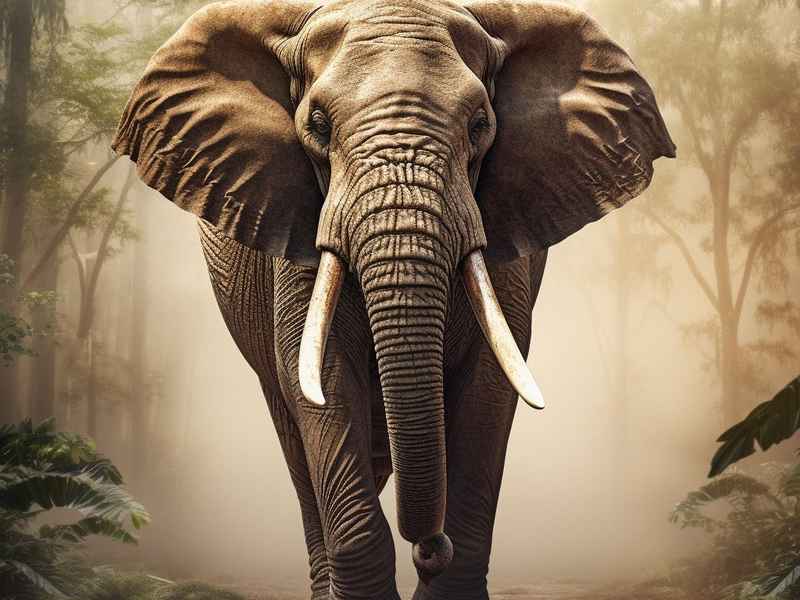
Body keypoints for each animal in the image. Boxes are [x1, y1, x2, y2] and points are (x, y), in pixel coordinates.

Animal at [112, 0, 675, 598]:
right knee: (294, 438)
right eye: (317, 125)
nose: (429, 548)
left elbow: (492, 378)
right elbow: (320, 378)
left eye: (480, 125)